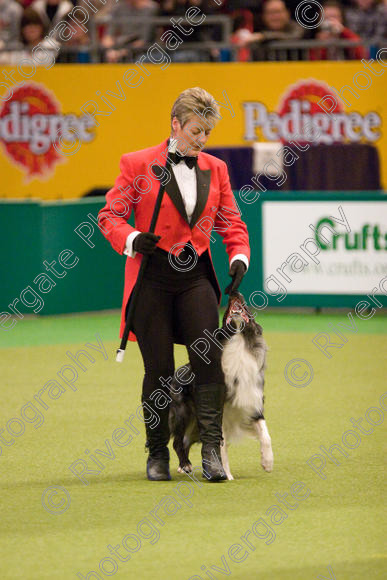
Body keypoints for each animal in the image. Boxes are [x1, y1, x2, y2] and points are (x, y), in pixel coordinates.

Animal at [168, 294, 274, 480]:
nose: (237, 294)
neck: (238, 342)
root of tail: (178, 371)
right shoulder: (220, 413)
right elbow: (220, 445)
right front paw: (225, 473)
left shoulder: (252, 403)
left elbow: (265, 434)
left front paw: (267, 463)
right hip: (182, 413)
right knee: (177, 441)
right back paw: (185, 465)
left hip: (196, 424)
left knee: (187, 440)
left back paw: (184, 466)